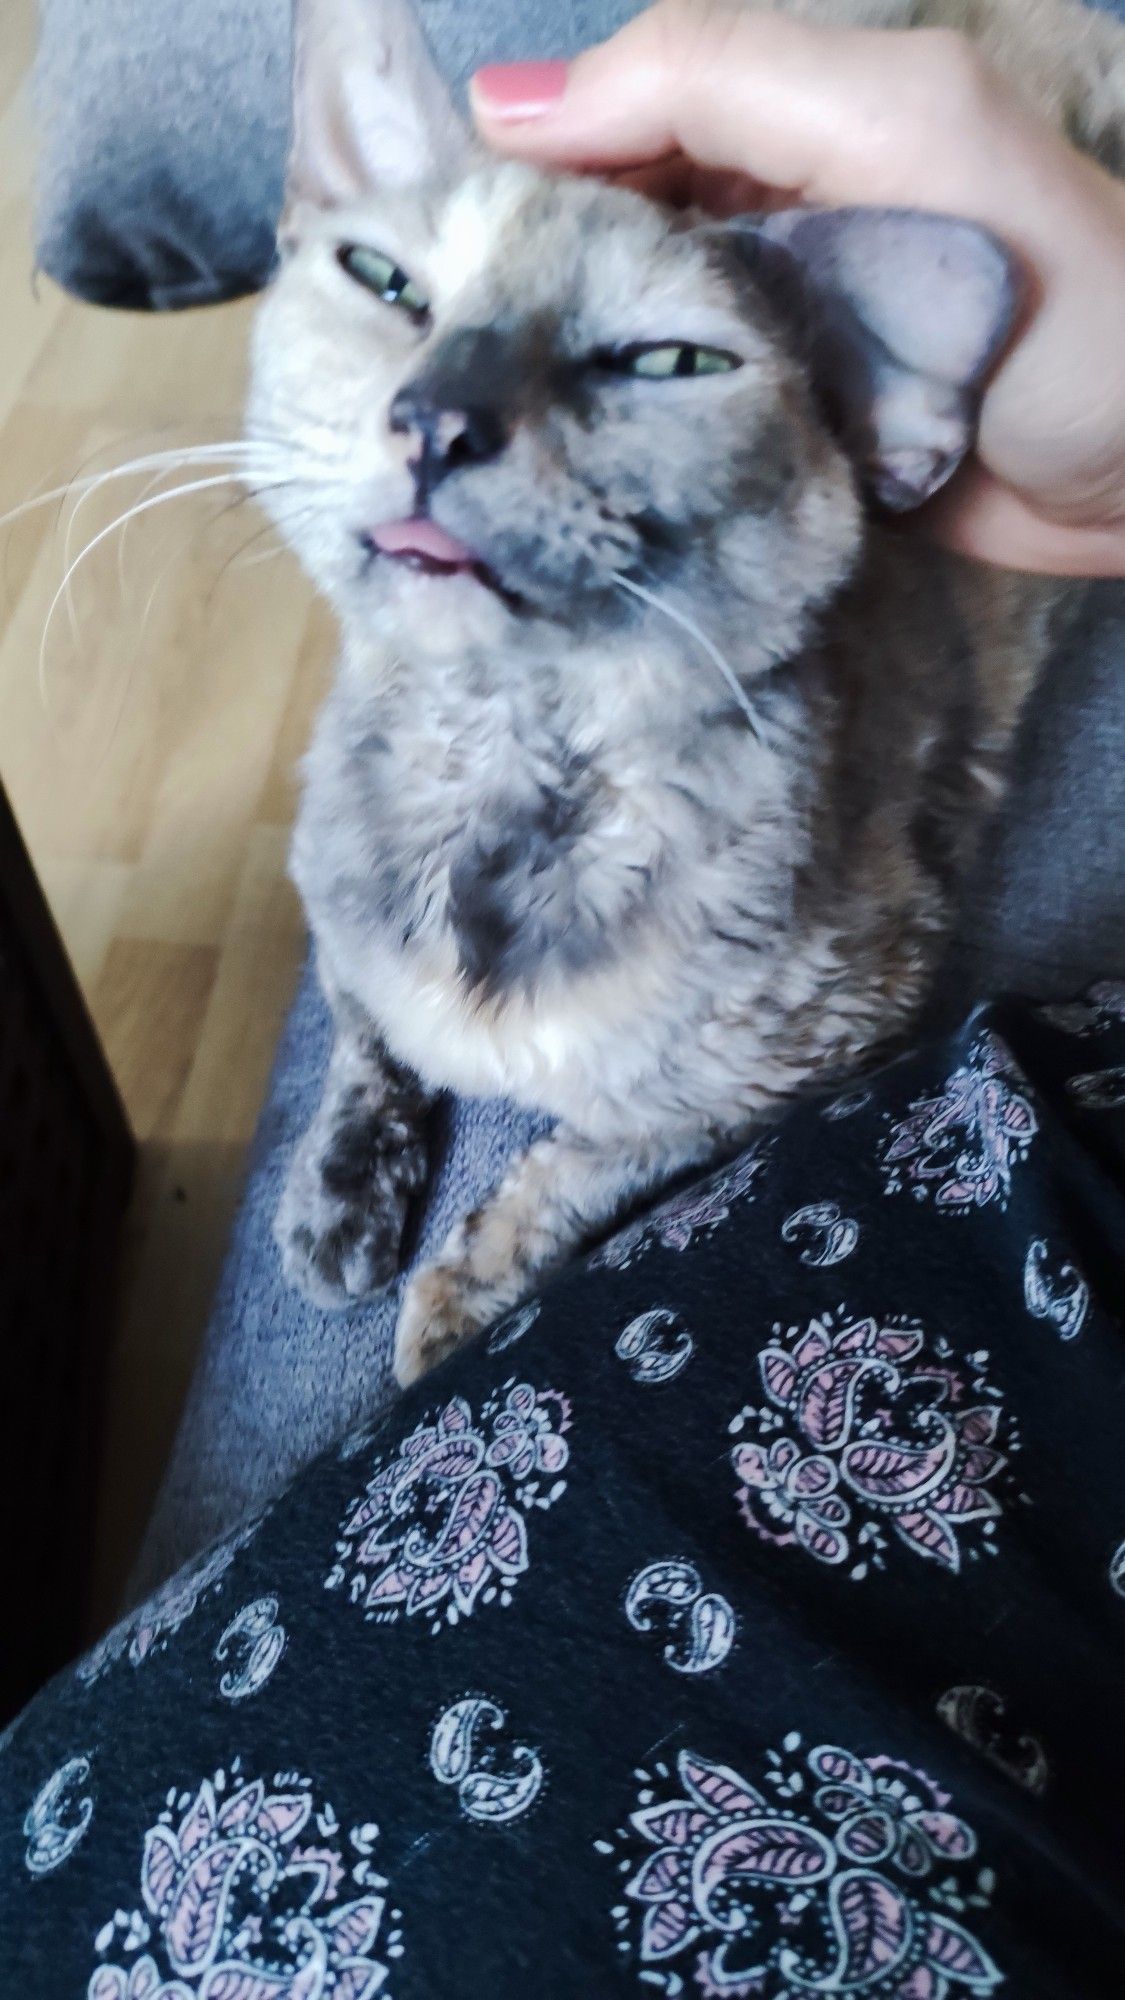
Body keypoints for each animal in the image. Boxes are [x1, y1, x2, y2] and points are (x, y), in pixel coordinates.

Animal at [249, 0, 1120, 1384]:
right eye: (385, 282)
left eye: (664, 361)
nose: (437, 413)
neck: (490, 779)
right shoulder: (328, 886)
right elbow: (360, 1021)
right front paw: (336, 1193)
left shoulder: (829, 1038)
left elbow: (591, 1156)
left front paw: (464, 1294)